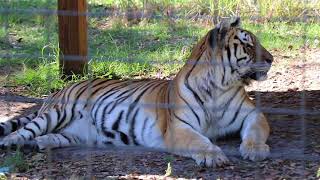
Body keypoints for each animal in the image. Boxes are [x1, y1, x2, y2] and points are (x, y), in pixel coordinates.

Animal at [1, 17, 274, 167]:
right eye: (249, 45)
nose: (271, 59)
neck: (220, 85)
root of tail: (59, 91)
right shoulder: (178, 128)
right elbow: (199, 141)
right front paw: (213, 156)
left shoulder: (253, 114)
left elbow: (255, 131)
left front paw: (255, 150)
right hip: (58, 113)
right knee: (23, 131)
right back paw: (12, 143)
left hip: (76, 134)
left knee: (52, 136)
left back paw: (39, 144)